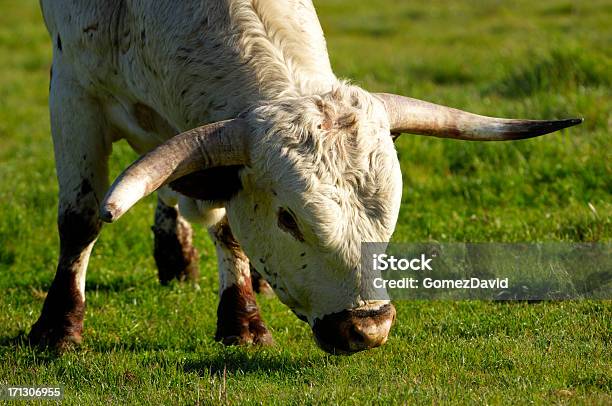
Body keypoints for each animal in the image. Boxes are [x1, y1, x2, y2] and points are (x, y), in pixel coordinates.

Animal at [29, 0, 584, 354]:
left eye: (388, 219)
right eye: (289, 220)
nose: (368, 329)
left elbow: (227, 225)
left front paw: (241, 320)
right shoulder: (72, 92)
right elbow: (81, 219)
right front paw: (57, 330)